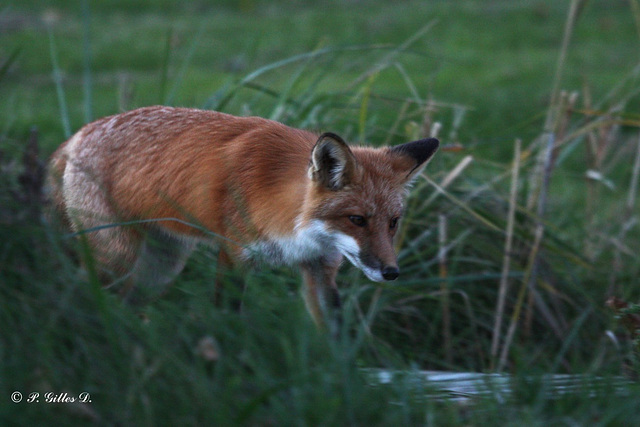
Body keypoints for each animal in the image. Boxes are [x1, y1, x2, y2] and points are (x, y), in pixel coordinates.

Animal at [46, 107, 440, 332]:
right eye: (357, 219)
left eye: (393, 222)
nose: (391, 272)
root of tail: (77, 134)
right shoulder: (234, 255)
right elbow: (228, 320)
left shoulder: (320, 267)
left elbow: (335, 337)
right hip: (117, 258)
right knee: (81, 297)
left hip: (160, 269)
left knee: (124, 304)